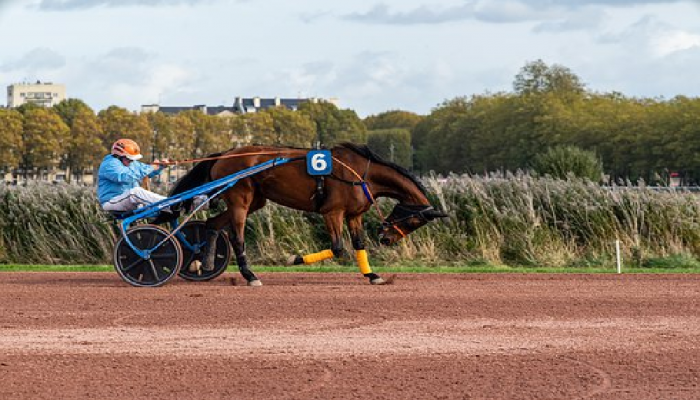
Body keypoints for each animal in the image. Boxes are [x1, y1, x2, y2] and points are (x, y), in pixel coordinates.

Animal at [167, 142, 446, 286]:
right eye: (413, 220)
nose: (387, 239)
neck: (359, 174)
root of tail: (225, 154)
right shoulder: (332, 212)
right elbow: (338, 248)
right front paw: (294, 259)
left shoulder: (354, 214)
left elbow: (358, 244)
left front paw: (372, 275)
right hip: (240, 201)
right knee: (237, 237)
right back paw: (250, 275)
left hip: (256, 200)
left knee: (212, 224)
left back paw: (205, 262)